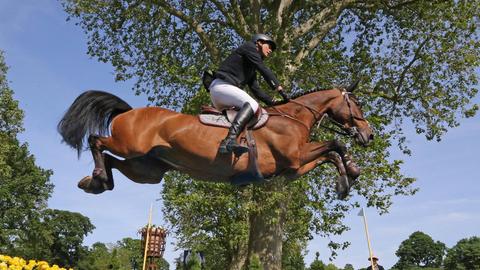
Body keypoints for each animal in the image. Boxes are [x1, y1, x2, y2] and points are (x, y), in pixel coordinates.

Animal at [59, 83, 376, 199]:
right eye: (357, 104)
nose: (369, 134)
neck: (294, 117)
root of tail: (129, 111)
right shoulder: (296, 156)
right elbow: (336, 145)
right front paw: (352, 172)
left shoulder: (294, 168)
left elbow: (331, 154)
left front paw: (345, 180)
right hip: (130, 145)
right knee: (97, 141)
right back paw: (97, 176)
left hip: (147, 168)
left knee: (113, 161)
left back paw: (97, 182)